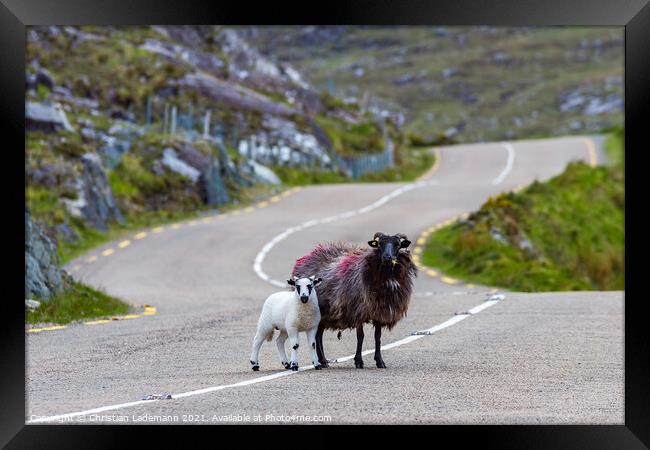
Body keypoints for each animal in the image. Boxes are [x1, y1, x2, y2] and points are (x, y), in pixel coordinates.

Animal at [290, 232, 416, 370]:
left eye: (397, 244)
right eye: (379, 244)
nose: (387, 257)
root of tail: (309, 255)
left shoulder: (378, 311)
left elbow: (377, 337)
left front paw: (380, 361)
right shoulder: (359, 310)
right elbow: (360, 336)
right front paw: (359, 361)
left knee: (319, 334)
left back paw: (323, 361)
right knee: (317, 335)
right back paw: (322, 361)